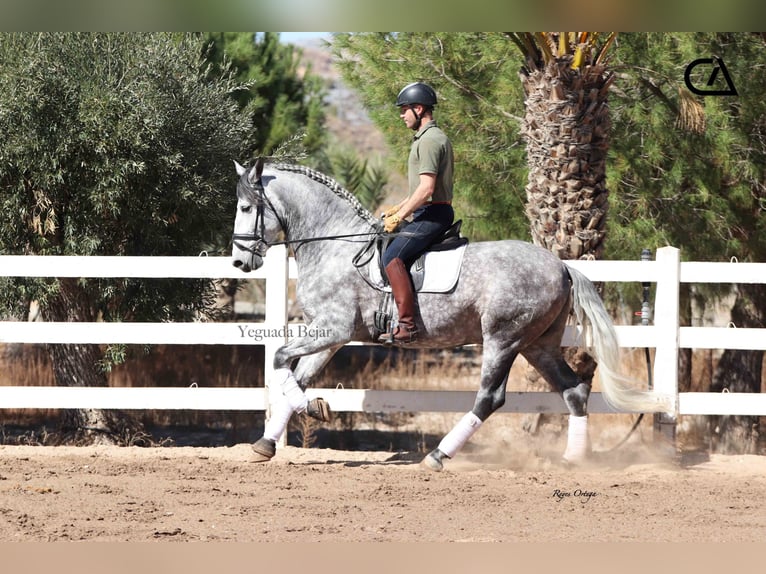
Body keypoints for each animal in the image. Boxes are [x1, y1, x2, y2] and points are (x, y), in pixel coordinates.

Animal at [231, 159, 676, 472]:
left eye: (246, 207)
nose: (239, 262)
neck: (336, 246)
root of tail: (562, 265)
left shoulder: (332, 329)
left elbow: (280, 359)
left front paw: (312, 410)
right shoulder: (332, 335)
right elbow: (296, 376)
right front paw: (267, 443)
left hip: (503, 339)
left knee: (490, 398)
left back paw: (438, 456)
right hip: (538, 344)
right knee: (574, 391)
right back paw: (573, 459)